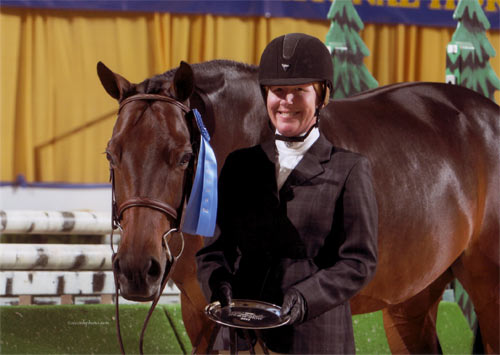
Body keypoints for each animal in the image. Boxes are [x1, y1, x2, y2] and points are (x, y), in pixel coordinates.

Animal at [98, 59, 500, 354]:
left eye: (183, 157)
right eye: (111, 154)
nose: (136, 269)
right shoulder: (202, 314)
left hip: (487, 291)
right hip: (412, 300)